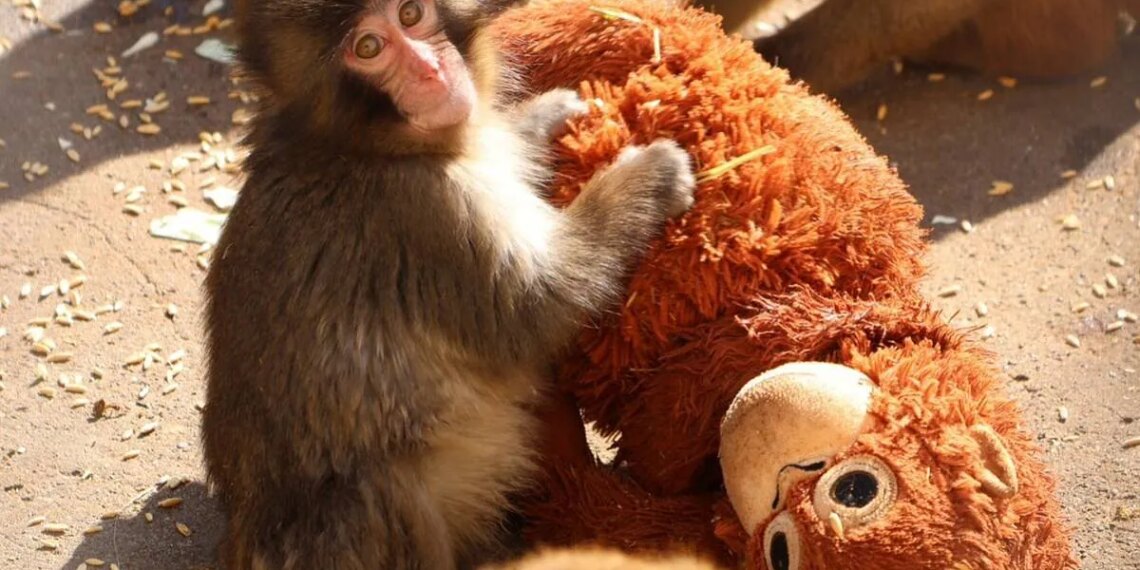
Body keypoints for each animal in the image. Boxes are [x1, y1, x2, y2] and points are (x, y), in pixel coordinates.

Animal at [199, 0, 697, 568]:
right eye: (368, 48)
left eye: (411, 14)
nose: (431, 71)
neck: (360, 147)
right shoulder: (426, 212)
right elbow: (536, 307)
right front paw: (648, 178)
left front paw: (541, 117)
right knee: (379, 490)